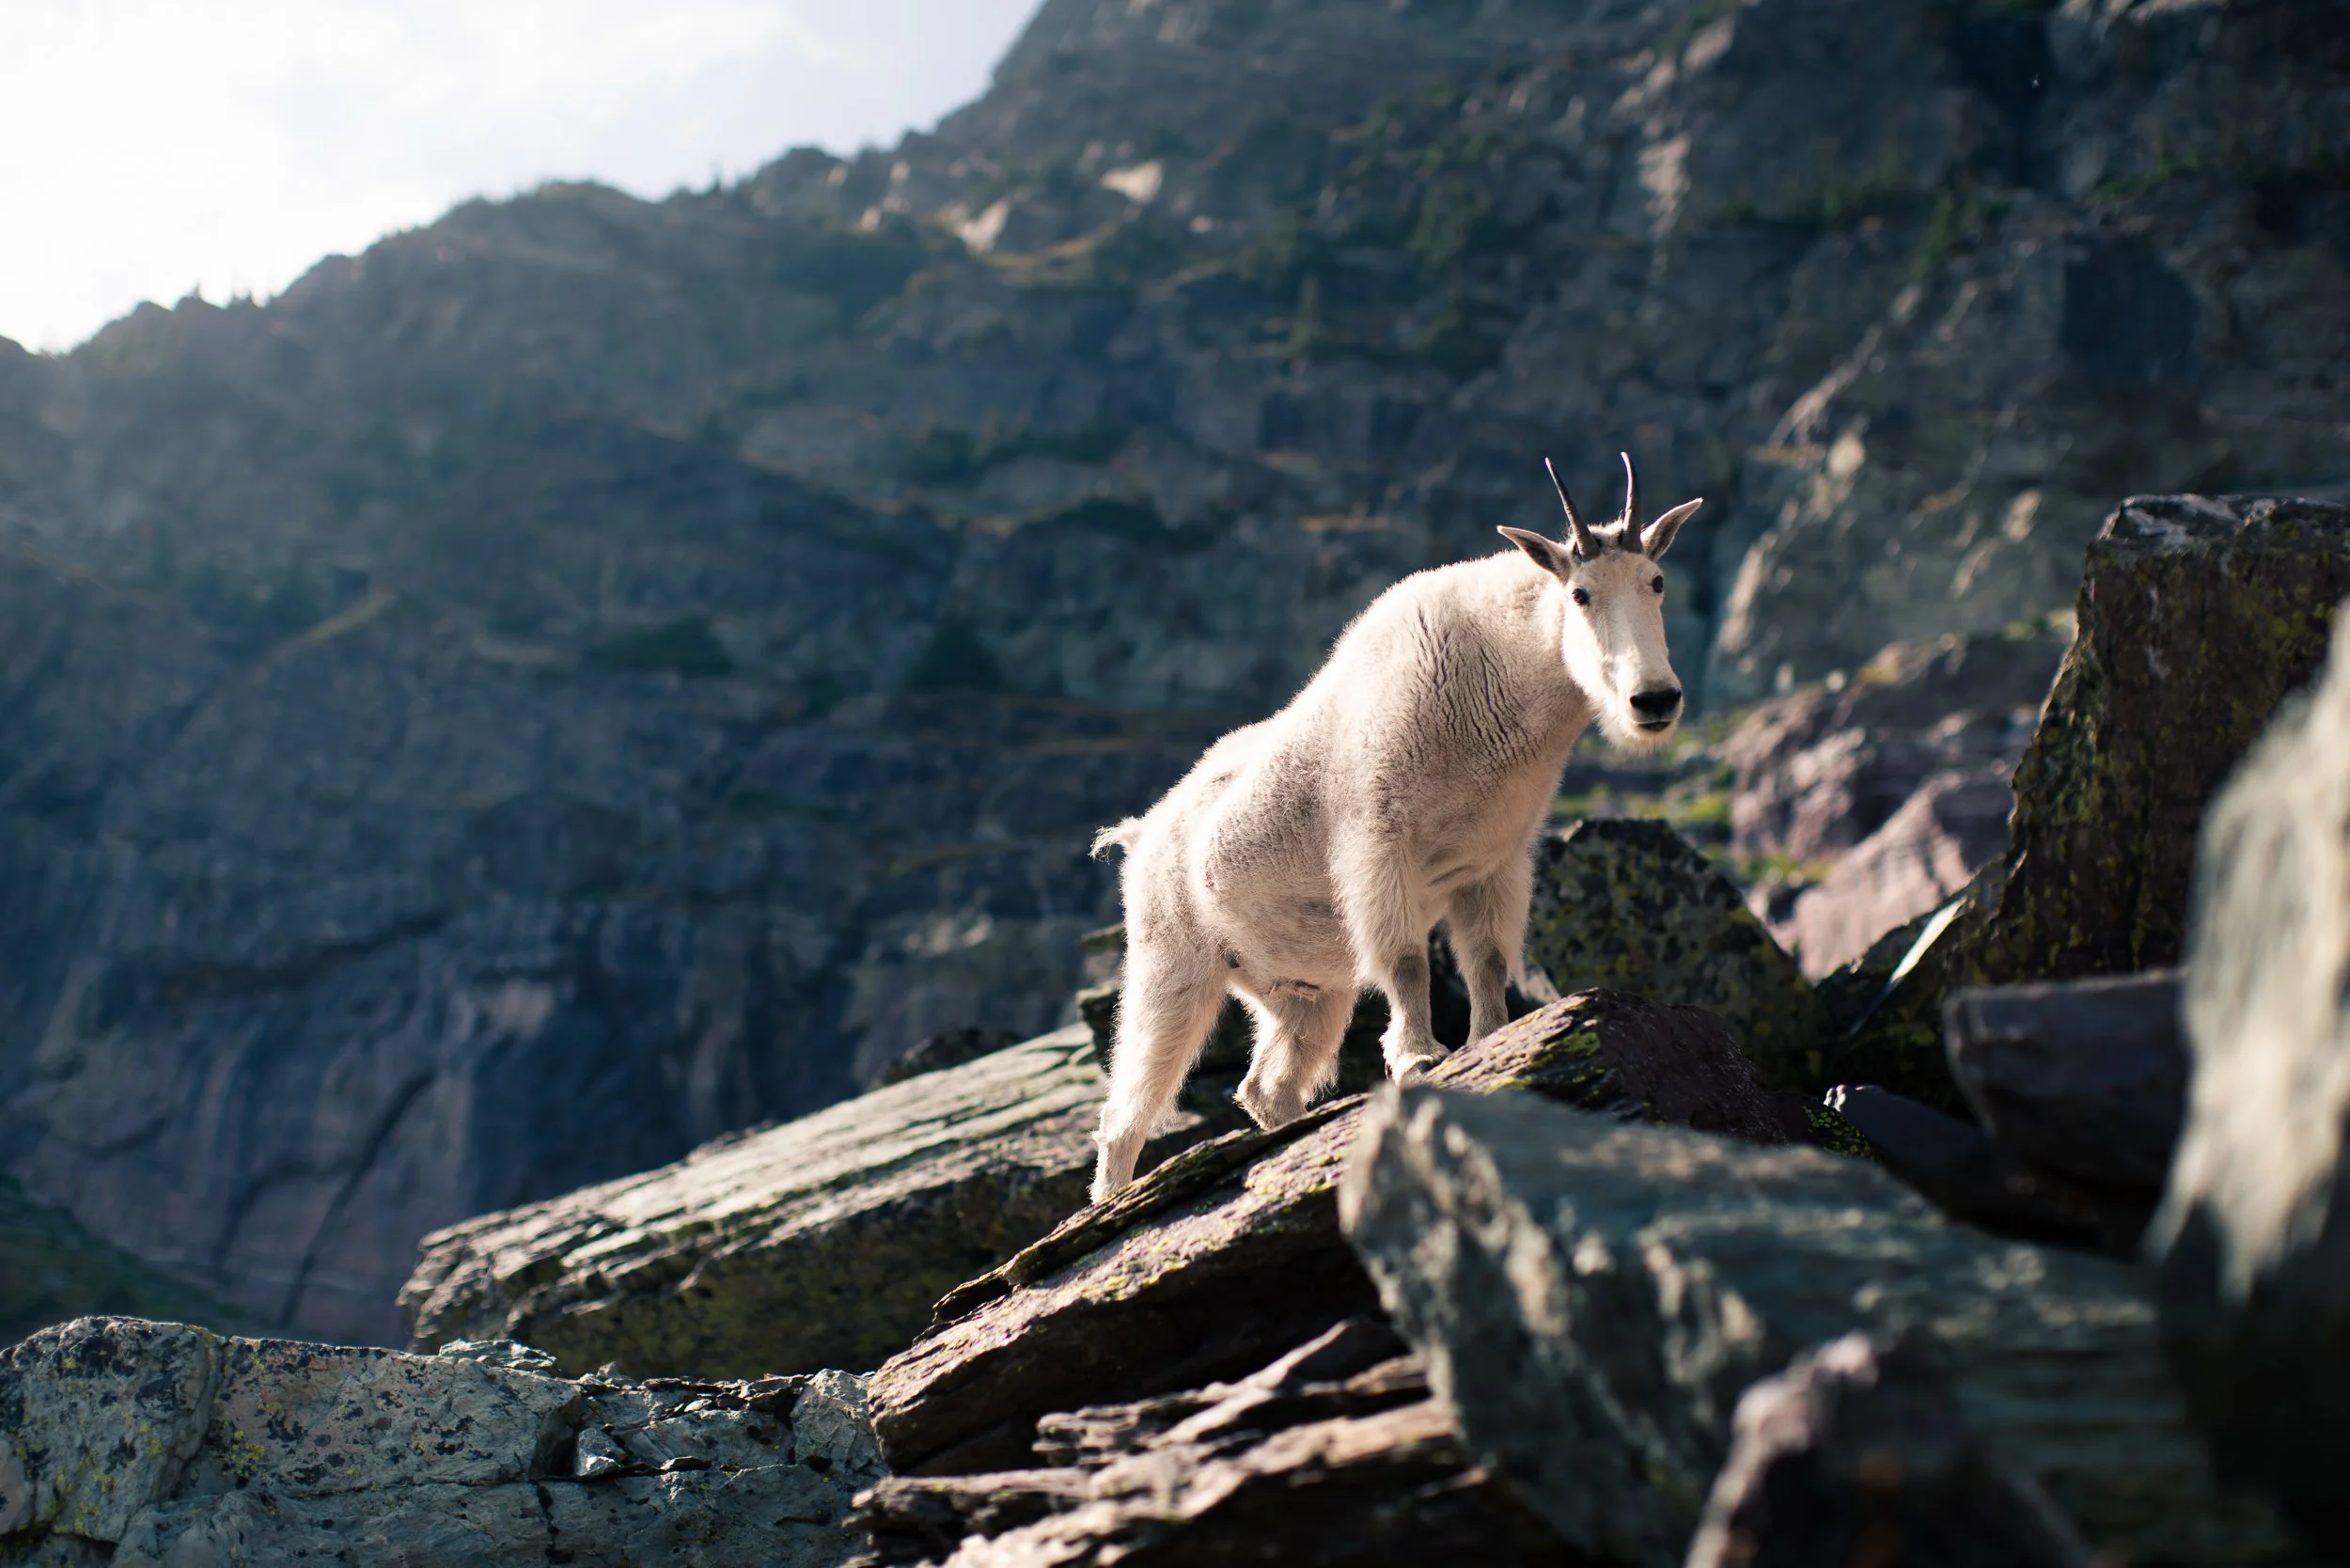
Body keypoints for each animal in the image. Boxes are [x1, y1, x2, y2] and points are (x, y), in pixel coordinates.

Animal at [1087, 453, 1701, 1200]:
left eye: (1656, 582)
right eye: (1580, 594)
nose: (1654, 700)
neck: (1504, 677)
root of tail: (1140, 835)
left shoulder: (1497, 863)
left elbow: (1488, 959)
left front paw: (1489, 1039)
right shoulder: (1378, 848)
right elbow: (1407, 960)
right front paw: (1419, 1058)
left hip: (1304, 991)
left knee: (1265, 1084)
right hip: (1170, 963)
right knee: (1128, 1106)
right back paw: (1110, 1196)